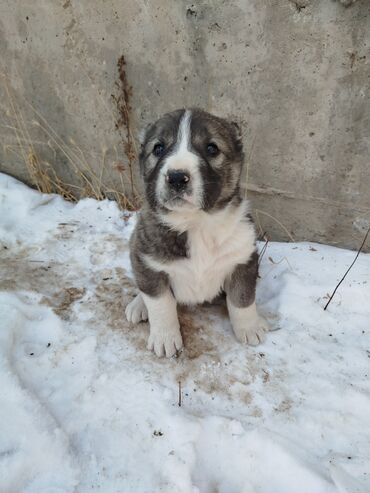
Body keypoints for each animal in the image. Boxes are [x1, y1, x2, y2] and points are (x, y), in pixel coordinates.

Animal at [125, 107, 268, 356]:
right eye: (158, 148)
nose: (176, 177)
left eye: (212, 148)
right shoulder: (145, 259)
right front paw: (165, 338)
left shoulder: (243, 259)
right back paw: (138, 305)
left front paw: (250, 328)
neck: (196, 223)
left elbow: (242, 299)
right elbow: (160, 303)